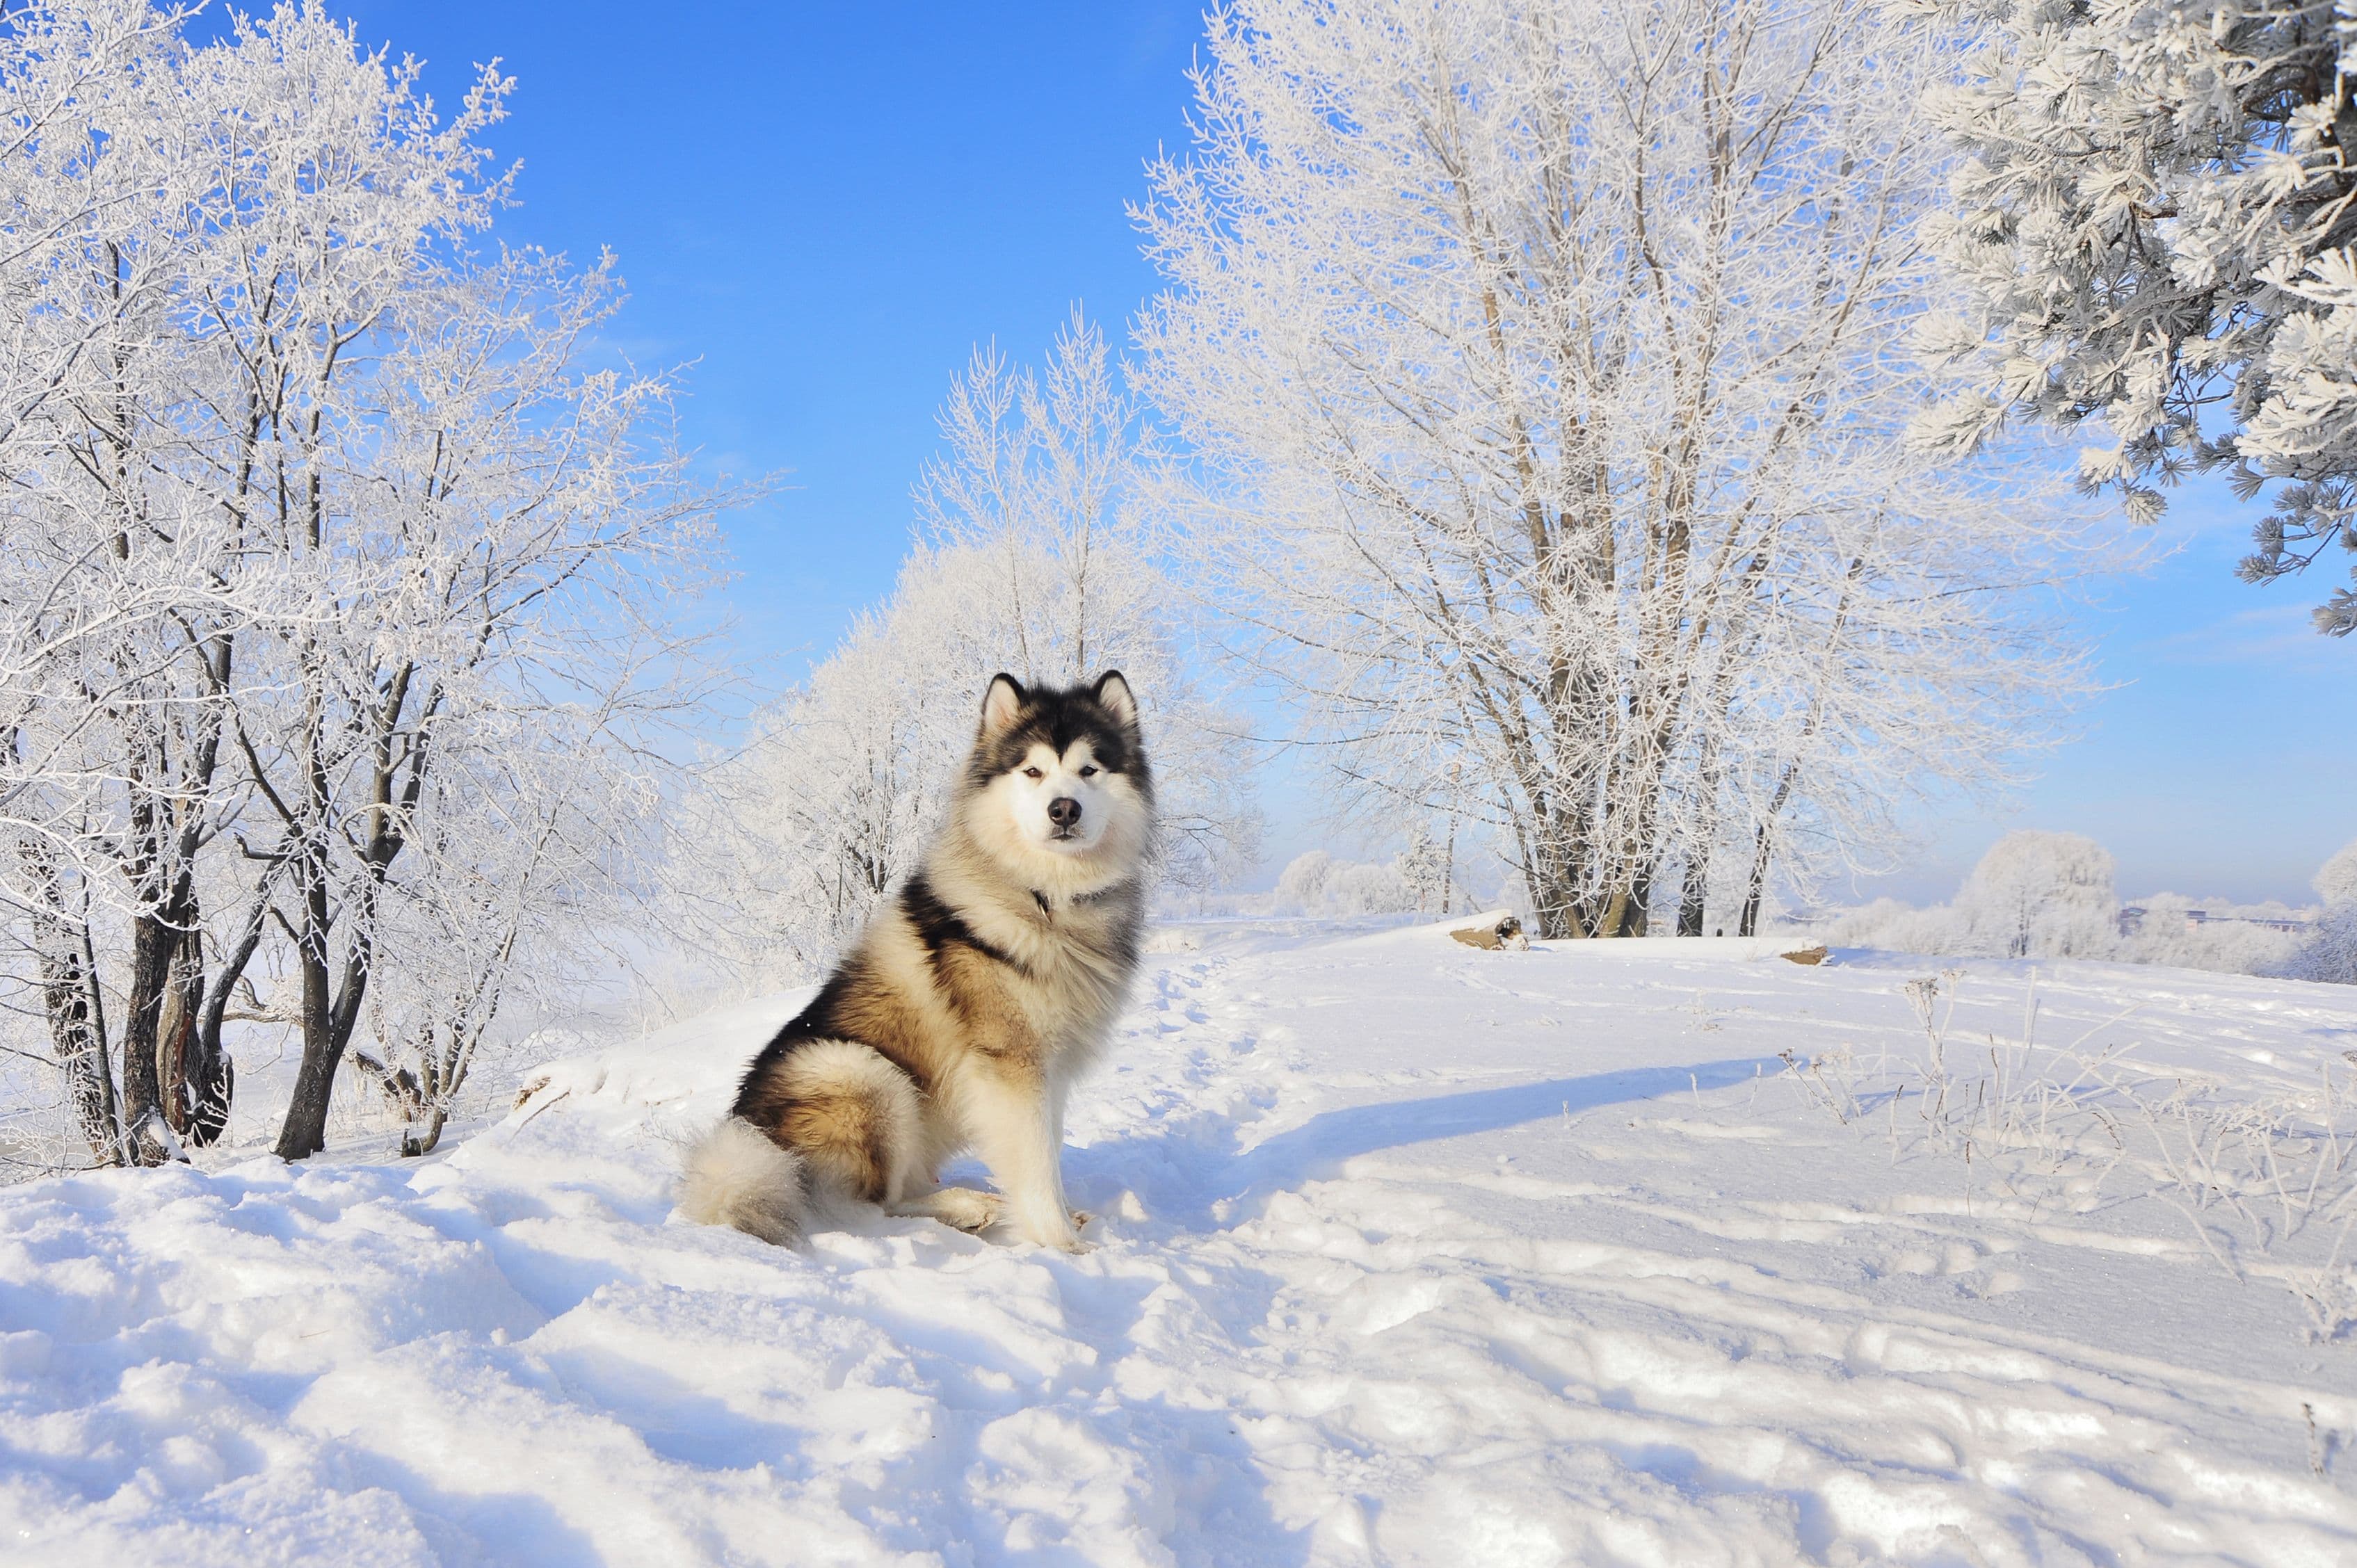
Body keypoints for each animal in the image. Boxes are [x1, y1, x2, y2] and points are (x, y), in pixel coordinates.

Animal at [679, 670, 1155, 1245]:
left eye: (1089, 769)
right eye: (1033, 771)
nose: (1063, 808)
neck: (1046, 897)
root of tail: (749, 1140)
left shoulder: (1051, 1068)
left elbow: (1047, 1150)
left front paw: (1062, 1220)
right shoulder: (1012, 1066)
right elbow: (1036, 1163)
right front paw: (1061, 1243)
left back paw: (977, 1203)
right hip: (863, 1071)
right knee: (869, 1209)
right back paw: (962, 1206)